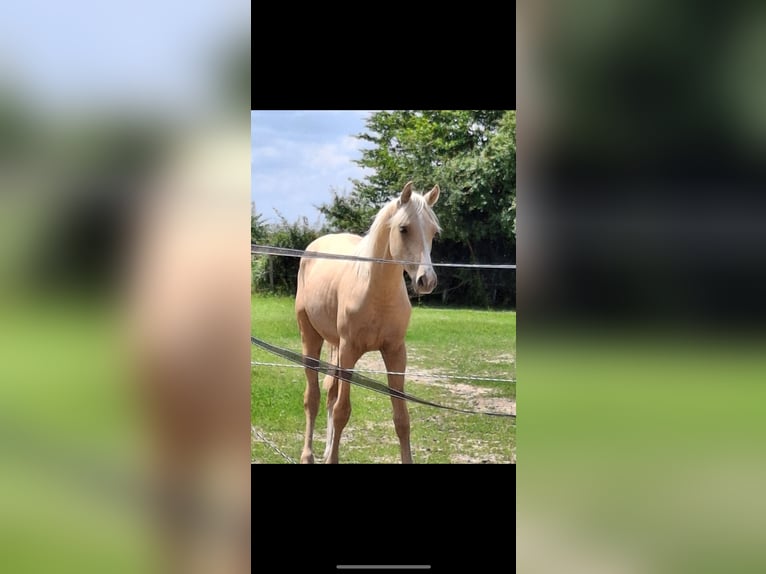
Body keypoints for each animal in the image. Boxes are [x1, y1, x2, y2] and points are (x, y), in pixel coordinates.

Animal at [296, 182, 440, 466]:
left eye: (433, 232)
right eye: (403, 228)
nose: (426, 280)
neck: (376, 292)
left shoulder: (395, 353)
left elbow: (402, 418)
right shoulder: (349, 351)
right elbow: (342, 411)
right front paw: (331, 459)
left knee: (329, 394)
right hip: (312, 340)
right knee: (313, 399)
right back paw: (308, 455)